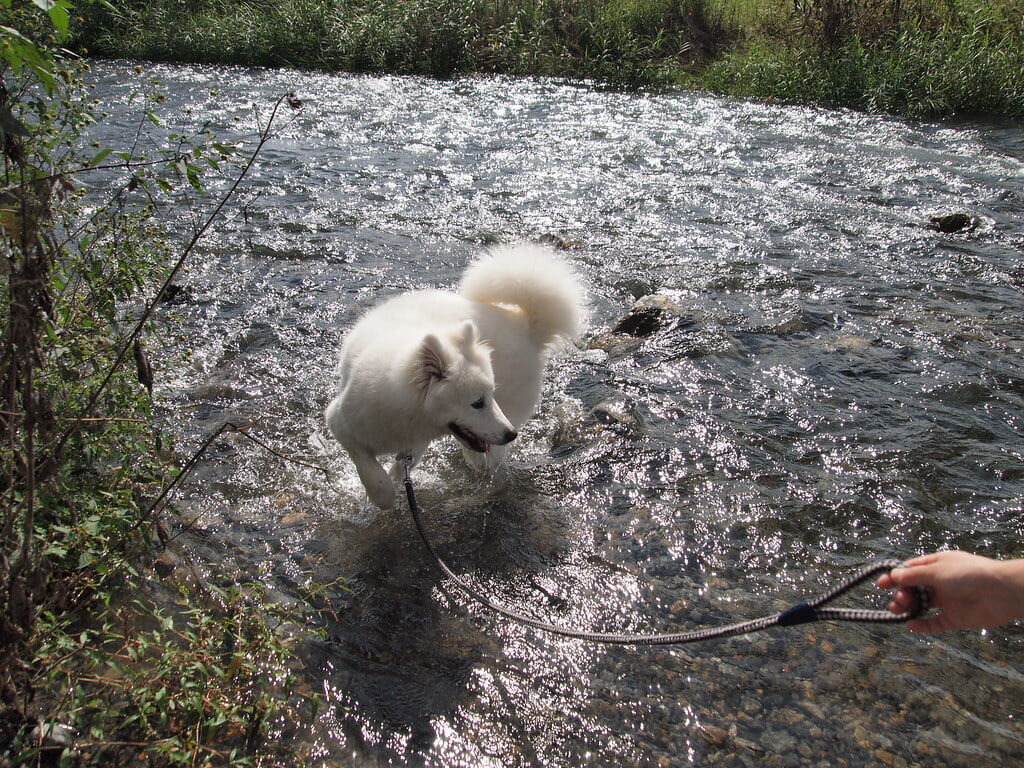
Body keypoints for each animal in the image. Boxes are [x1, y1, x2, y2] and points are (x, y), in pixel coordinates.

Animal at [327, 244, 585, 512]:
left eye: (490, 396)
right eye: (477, 403)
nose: (511, 434)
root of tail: (525, 325)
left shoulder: (411, 442)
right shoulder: (340, 422)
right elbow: (372, 470)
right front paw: (381, 496)